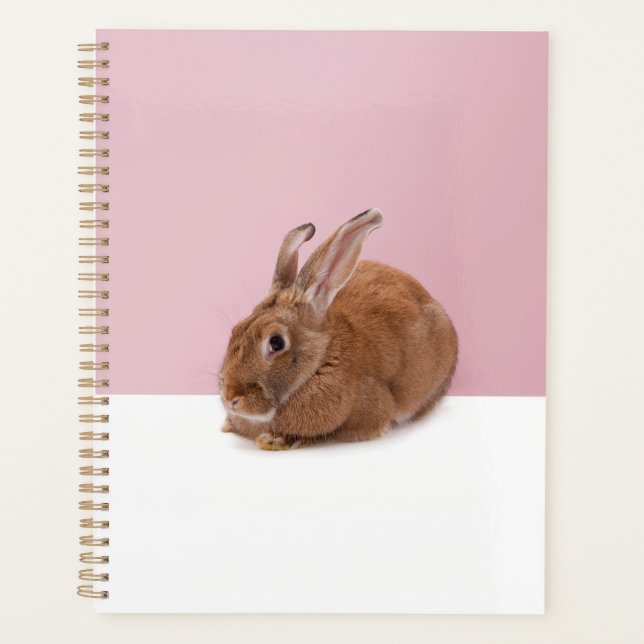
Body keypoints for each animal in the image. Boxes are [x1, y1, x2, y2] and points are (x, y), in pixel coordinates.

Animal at [219, 208, 458, 450]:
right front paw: (229, 425)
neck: (320, 361)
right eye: (235, 331)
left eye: (276, 342)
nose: (230, 397)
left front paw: (273, 440)